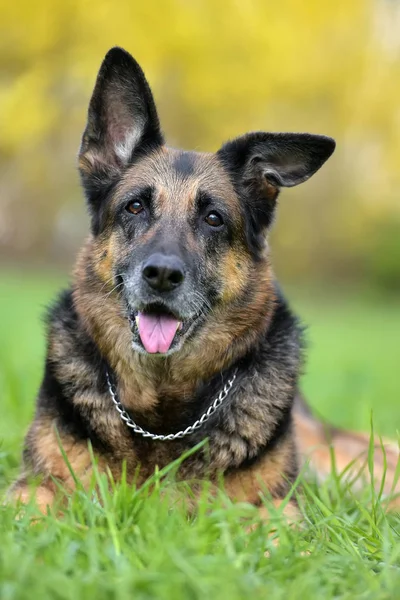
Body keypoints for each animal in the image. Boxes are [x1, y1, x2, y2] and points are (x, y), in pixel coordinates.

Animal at [7, 45, 400, 516]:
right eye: (135, 207)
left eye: (213, 219)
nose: (161, 275)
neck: (162, 412)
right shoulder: (33, 485)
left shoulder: (279, 505)